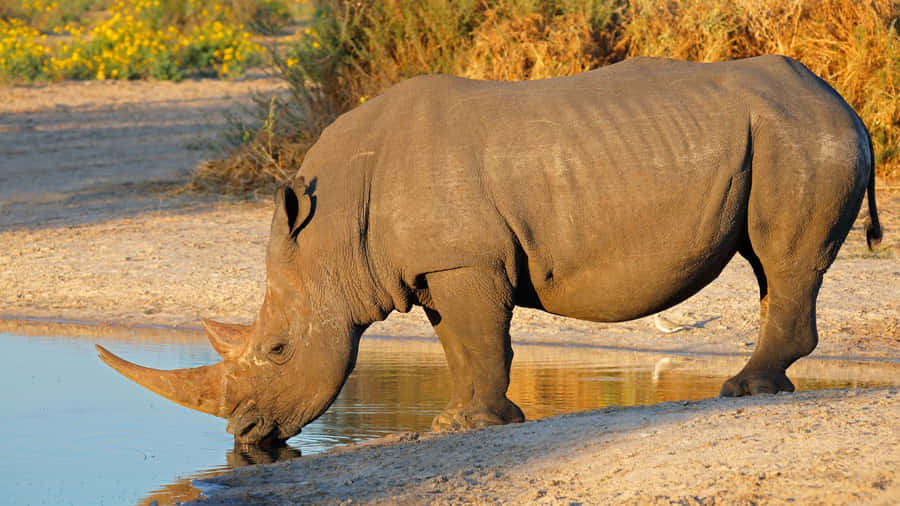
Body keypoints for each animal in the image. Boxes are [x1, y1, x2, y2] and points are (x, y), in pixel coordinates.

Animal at [97, 55, 882, 445]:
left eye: (280, 350)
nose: (246, 434)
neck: (334, 230)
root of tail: (838, 96)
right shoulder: (436, 267)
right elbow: (462, 346)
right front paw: (461, 423)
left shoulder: (466, 261)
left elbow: (482, 340)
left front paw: (470, 425)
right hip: (784, 131)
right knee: (769, 264)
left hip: (800, 132)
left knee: (781, 258)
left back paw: (745, 391)